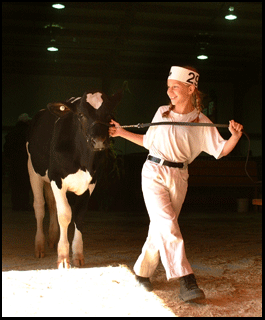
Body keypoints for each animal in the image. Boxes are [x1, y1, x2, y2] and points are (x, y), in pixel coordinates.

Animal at [26, 89, 121, 268]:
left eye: (109, 114)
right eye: (81, 114)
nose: (99, 141)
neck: (83, 161)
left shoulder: (91, 183)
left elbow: (79, 215)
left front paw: (77, 254)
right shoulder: (57, 178)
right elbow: (65, 215)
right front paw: (63, 257)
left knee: (51, 204)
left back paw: (51, 238)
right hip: (33, 171)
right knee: (39, 207)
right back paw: (39, 246)